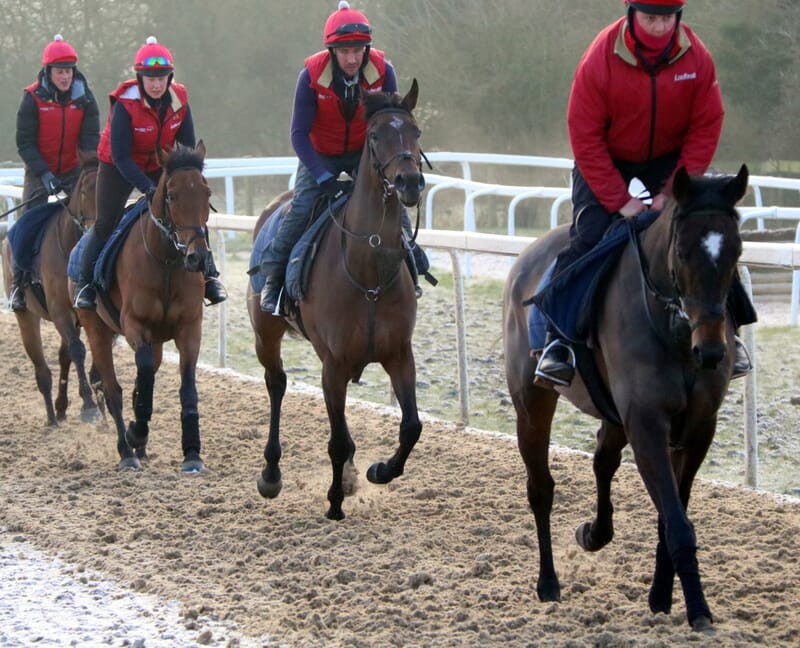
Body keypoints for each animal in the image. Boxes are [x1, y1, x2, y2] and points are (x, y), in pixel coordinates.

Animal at [2, 151, 101, 426]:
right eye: (85, 191)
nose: (94, 229)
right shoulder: (59, 311)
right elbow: (78, 351)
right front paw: (89, 403)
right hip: (27, 317)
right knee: (42, 368)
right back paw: (50, 414)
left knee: (62, 355)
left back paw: (61, 405)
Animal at [77, 141, 212, 473]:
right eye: (172, 195)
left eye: (207, 193)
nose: (198, 257)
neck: (166, 263)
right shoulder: (135, 325)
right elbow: (143, 378)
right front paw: (135, 432)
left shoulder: (189, 328)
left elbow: (186, 386)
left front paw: (192, 453)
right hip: (97, 329)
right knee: (113, 389)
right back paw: (128, 451)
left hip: (158, 341)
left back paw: (141, 447)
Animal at [247, 80, 425, 520]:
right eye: (374, 135)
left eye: (416, 132)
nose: (410, 182)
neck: (368, 272)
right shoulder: (335, 363)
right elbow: (337, 439)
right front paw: (334, 502)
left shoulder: (399, 353)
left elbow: (411, 426)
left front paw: (379, 470)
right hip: (266, 334)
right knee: (276, 383)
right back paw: (271, 474)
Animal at [503, 165, 749, 631]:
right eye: (682, 252)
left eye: (736, 251)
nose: (711, 351)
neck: (674, 333)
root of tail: (526, 258)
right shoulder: (647, 421)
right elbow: (676, 521)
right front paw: (698, 609)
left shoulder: (697, 426)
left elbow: (672, 513)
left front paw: (662, 595)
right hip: (531, 401)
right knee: (540, 487)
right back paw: (548, 583)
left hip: (614, 413)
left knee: (603, 461)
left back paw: (595, 532)